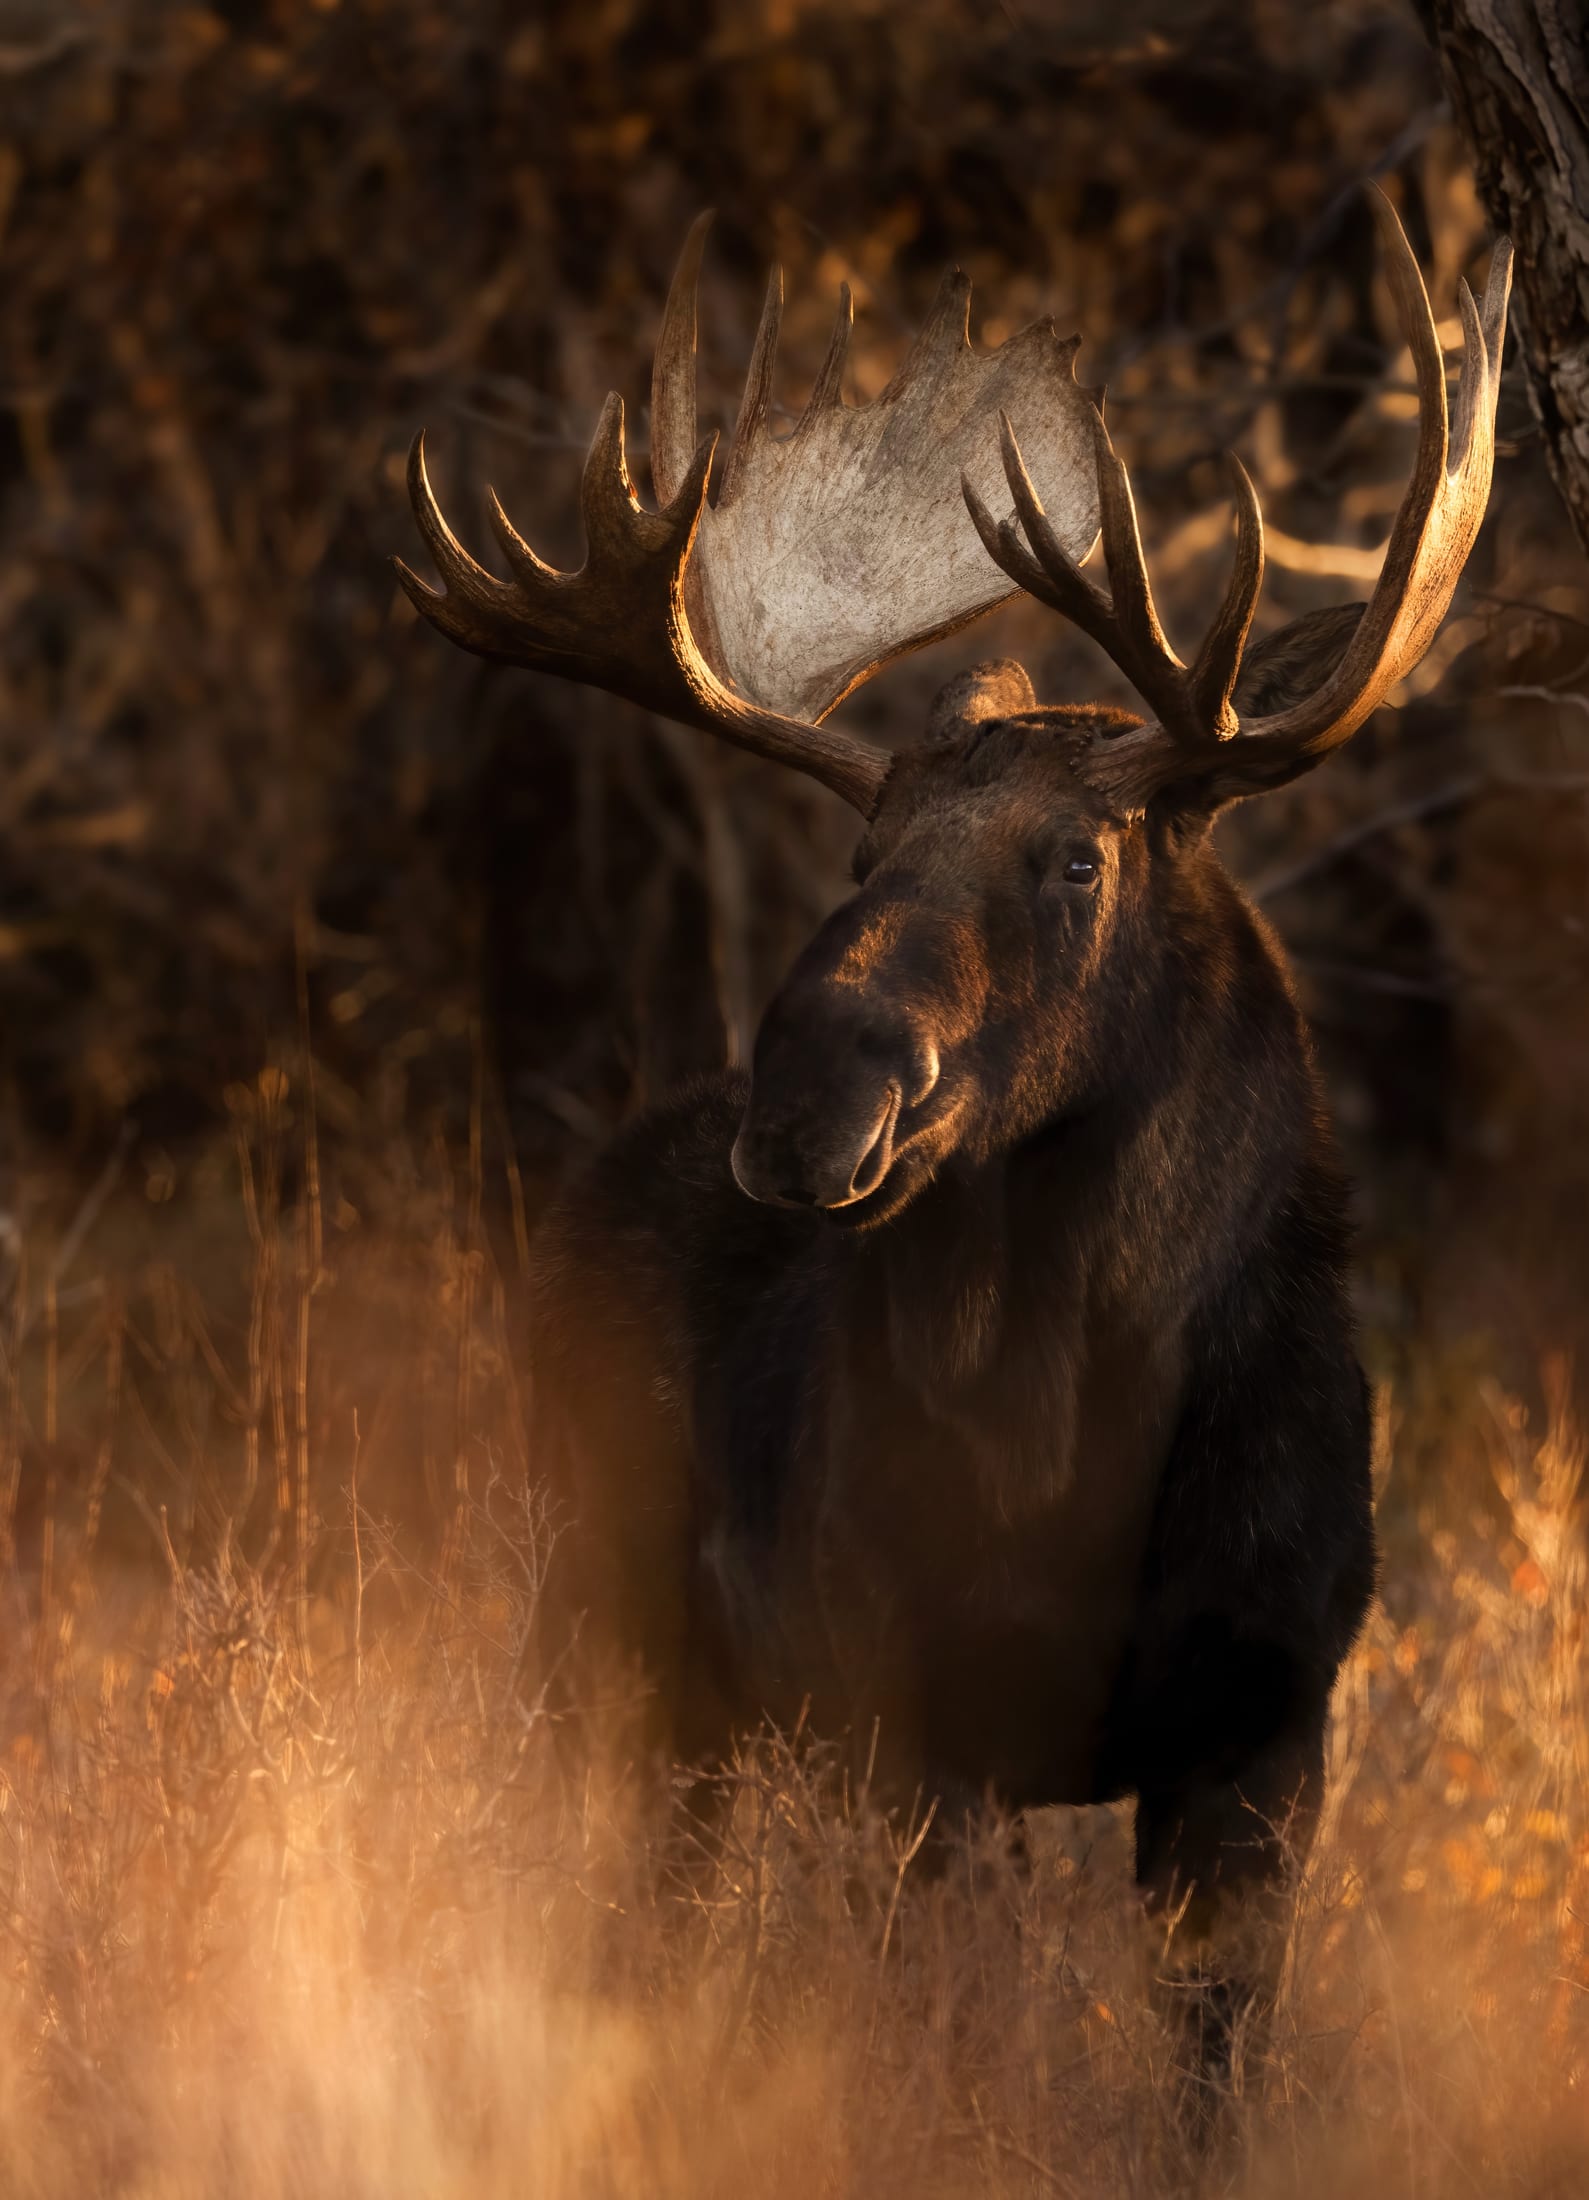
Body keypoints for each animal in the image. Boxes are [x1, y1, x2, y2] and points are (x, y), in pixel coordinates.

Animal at [396, 191, 1511, 2110]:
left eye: (1075, 858)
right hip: (615, 1622)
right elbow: (950, 2039)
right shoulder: (906, 1715)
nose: (805, 1094)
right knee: (628, 1897)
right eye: (861, 857)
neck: (1076, 1440)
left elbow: (1209, 2085)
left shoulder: (1266, 1716)